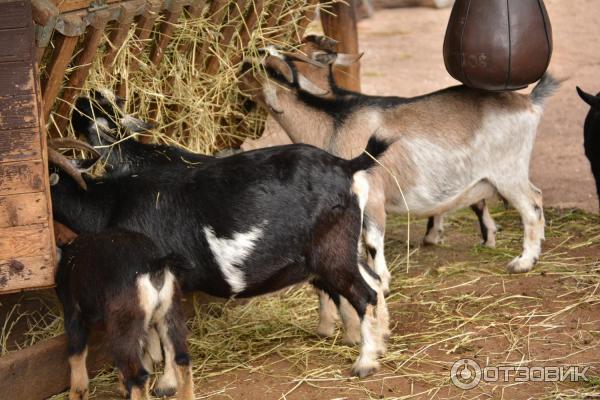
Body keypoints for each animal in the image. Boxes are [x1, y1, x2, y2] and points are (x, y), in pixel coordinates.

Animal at [49, 135, 392, 378]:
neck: (110, 203)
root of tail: (347, 165)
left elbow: (156, 329)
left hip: (332, 252)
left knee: (365, 294)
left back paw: (364, 364)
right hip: (341, 248)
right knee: (374, 281)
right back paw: (381, 339)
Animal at [55, 228, 193, 400]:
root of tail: (154, 263)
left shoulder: (73, 313)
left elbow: (76, 354)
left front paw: (78, 393)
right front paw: (123, 388)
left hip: (126, 324)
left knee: (139, 377)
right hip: (170, 314)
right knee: (181, 360)